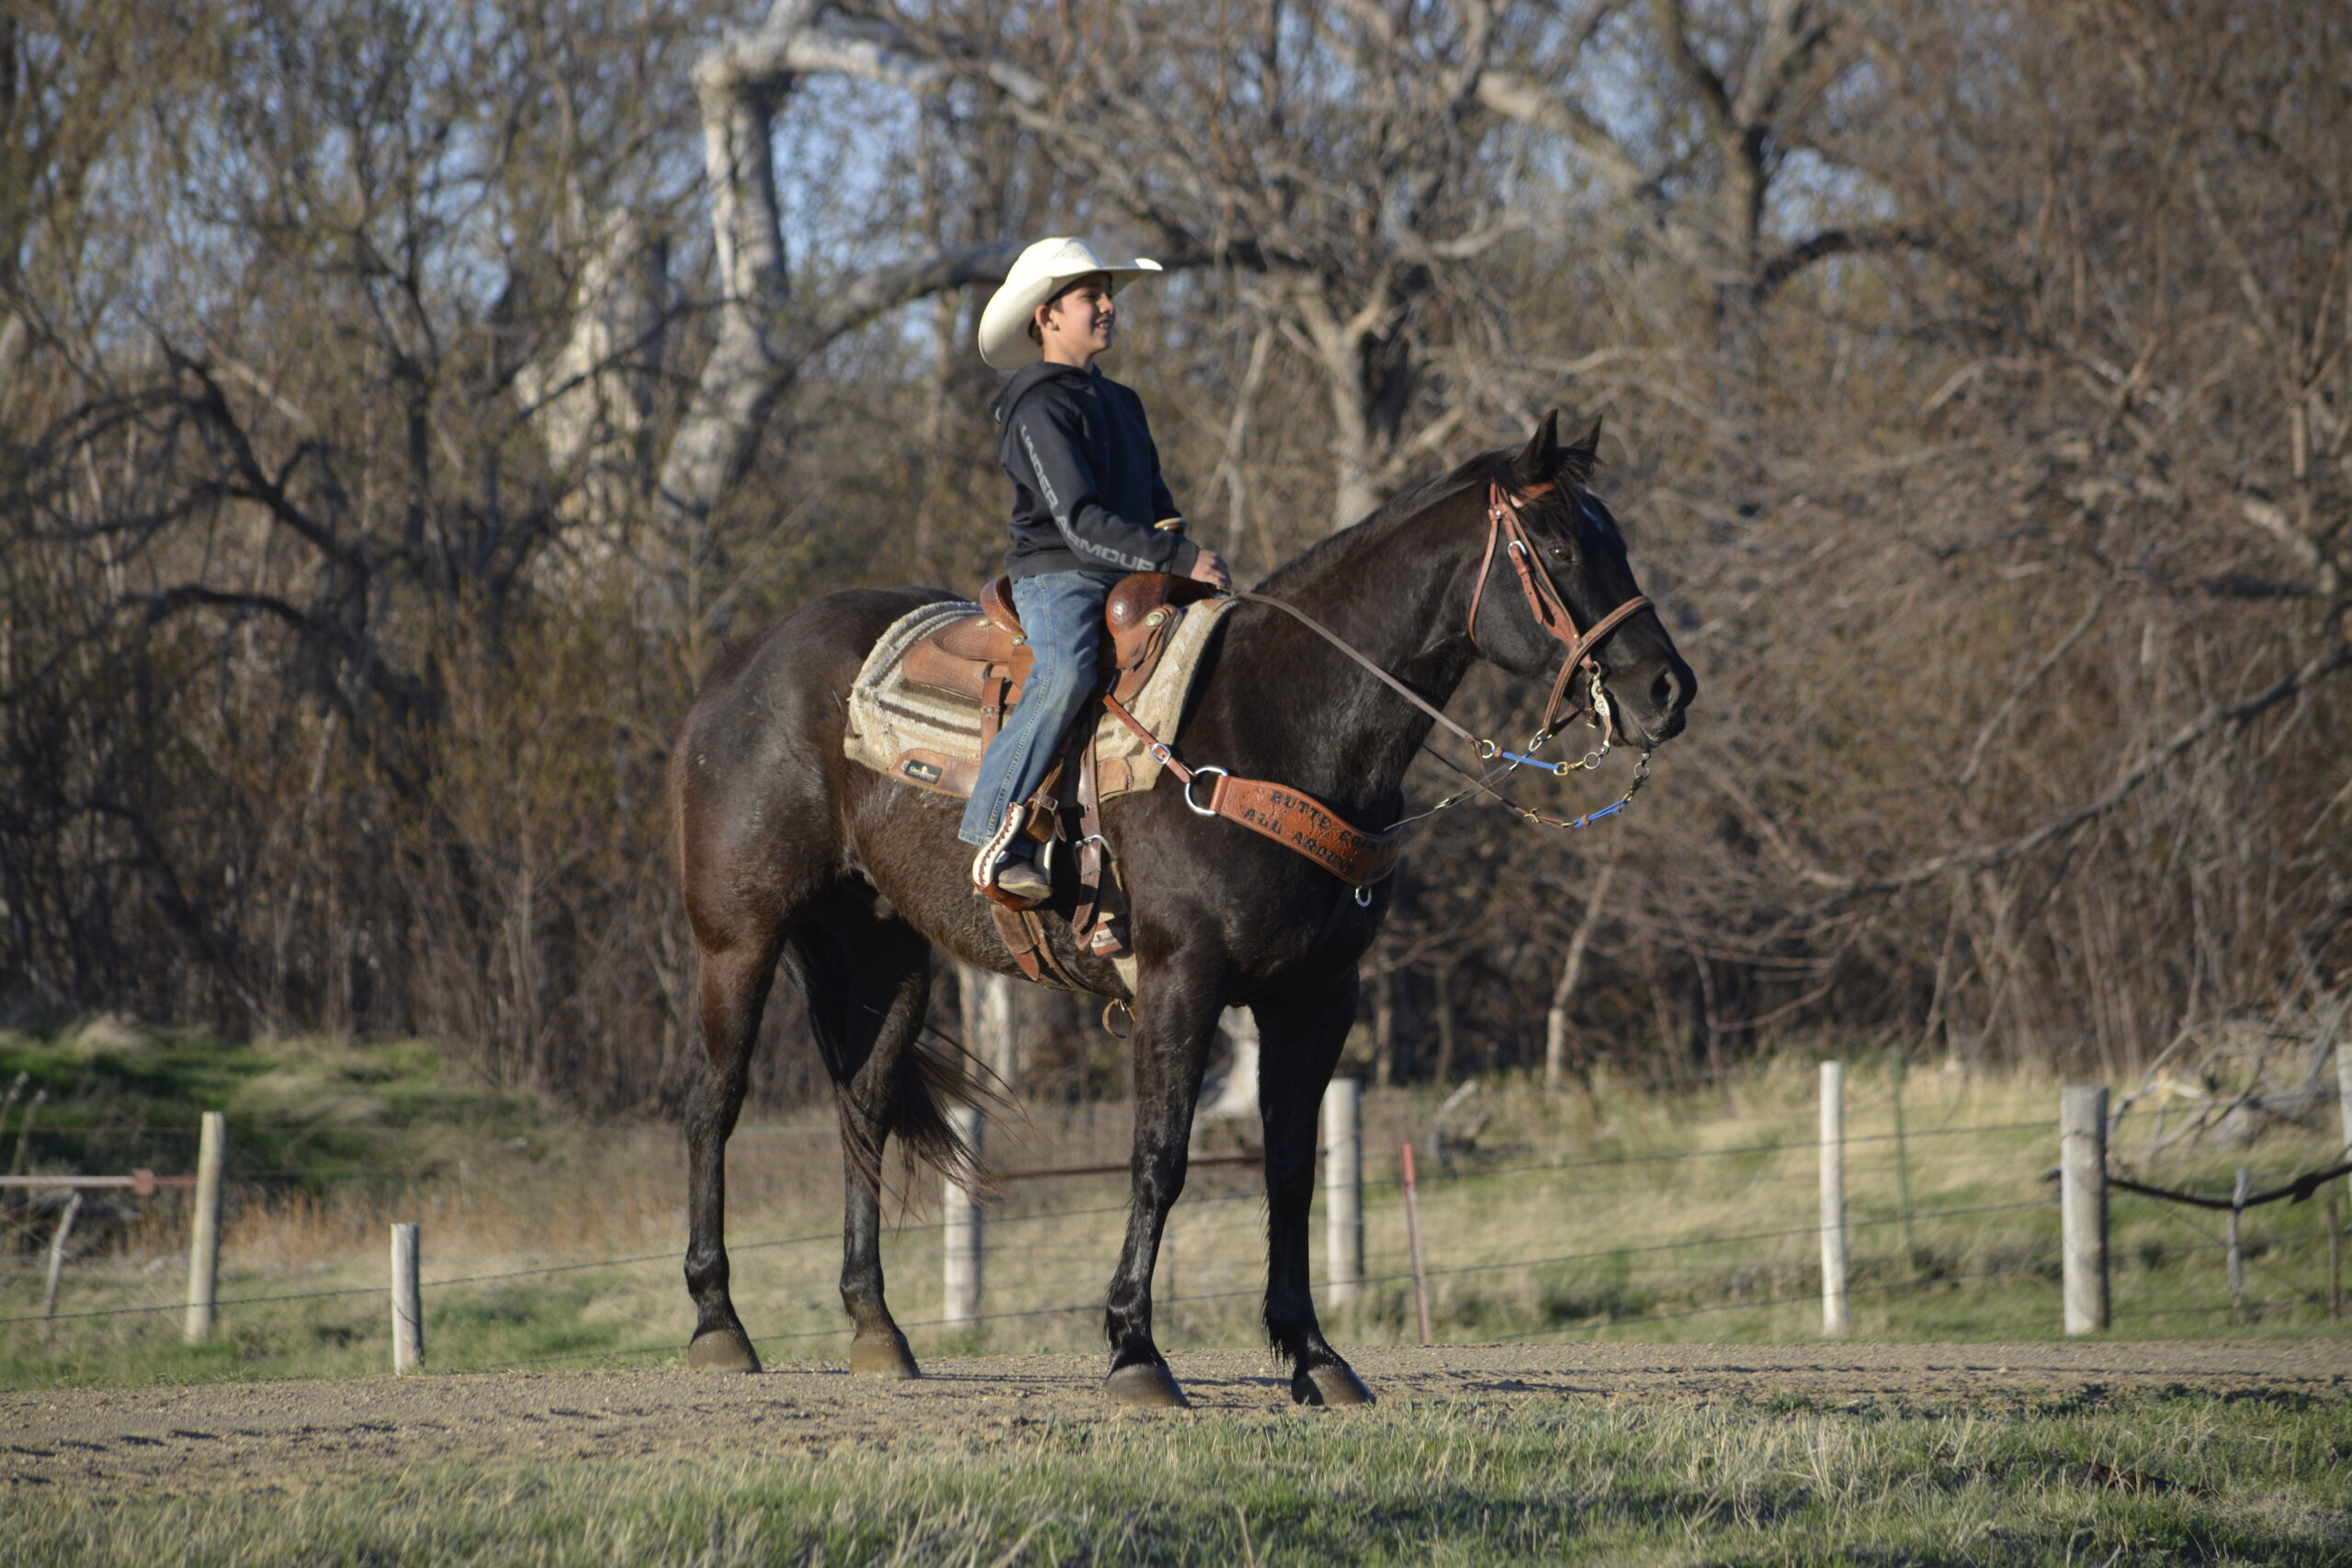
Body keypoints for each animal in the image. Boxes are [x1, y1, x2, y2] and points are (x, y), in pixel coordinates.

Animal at [668, 410, 1695, 1407]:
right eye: (1556, 546)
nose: (1667, 689)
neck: (1277, 725)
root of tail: (737, 667)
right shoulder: (1180, 979)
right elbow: (1159, 1158)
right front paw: (1135, 1352)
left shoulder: (1318, 997)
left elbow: (1291, 1168)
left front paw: (1313, 1354)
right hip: (737, 940)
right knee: (715, 1105)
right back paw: (719, 1324)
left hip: (887, 952)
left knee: (864, 1110)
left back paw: (877, 1329)